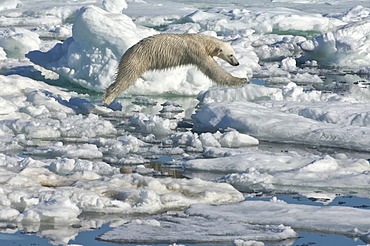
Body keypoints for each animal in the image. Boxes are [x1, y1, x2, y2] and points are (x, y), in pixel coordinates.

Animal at [102, 33, 246, 104]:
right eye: (231, 55)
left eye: (234, 53)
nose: (237, 63)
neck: (201, 40)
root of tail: (125, 53)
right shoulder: (196, 51)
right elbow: (213, 70)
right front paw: (241, 79)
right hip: (137, 61)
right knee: (126, 78)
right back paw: (108, 99)